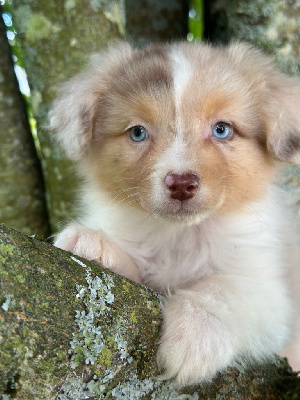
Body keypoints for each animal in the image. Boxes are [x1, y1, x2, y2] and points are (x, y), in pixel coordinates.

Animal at [51, 41, 300, 388]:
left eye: (221, 130)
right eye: (138, 133)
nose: (181, 183)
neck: (179, 235)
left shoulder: (271, 293)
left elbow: (222, 290)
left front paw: (197, 334)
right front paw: (95, 246)